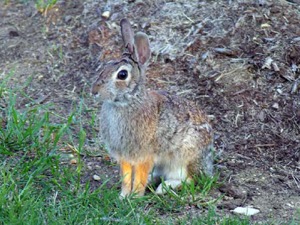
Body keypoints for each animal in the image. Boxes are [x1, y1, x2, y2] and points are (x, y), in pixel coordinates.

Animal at [91, 18, 213, 197]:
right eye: (105, 66)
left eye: (122, 75)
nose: (94, 91)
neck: (127, 102)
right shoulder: (124, 155)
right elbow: (126, 177)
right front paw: (123, 196)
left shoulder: (145, 155)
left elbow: (139, 177)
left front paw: (134, 197)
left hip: (185, 156)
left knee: (190, 179)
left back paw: (165, 188)